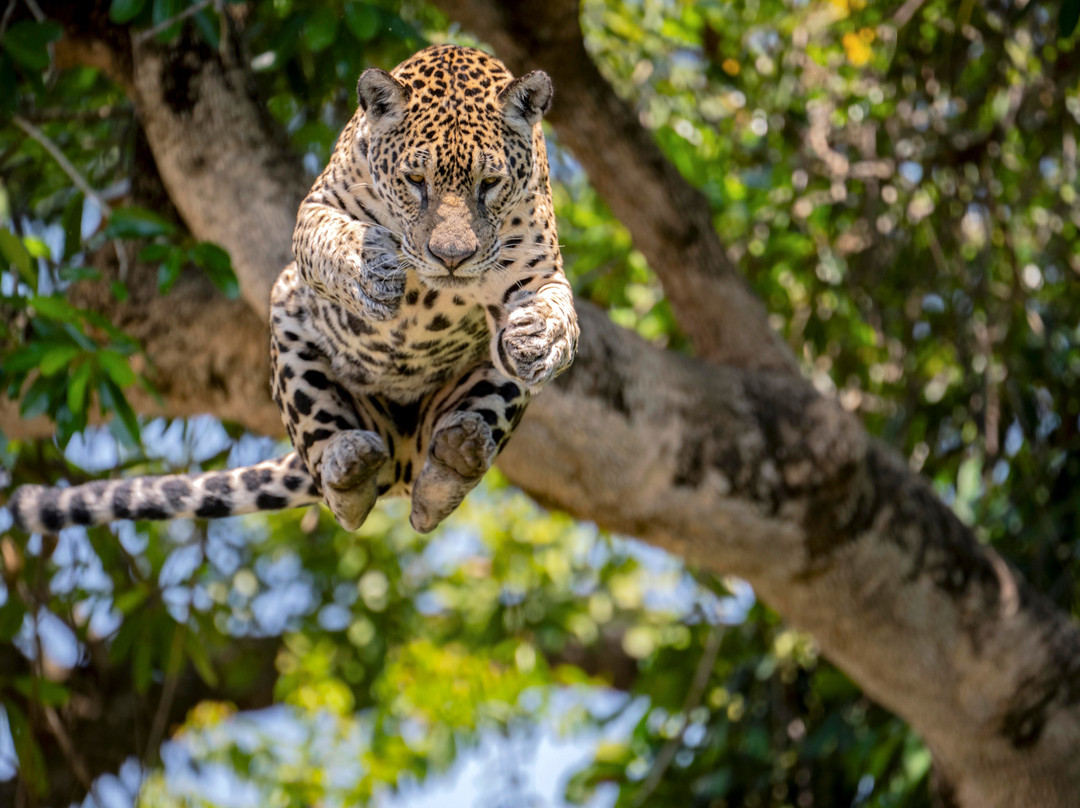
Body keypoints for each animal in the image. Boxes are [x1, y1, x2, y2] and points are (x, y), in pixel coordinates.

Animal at [8, 45, 579, 537]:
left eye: (490, 184)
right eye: (416, 180)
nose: (452, 257)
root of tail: (400, 452)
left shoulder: (539, 271)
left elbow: (558, 309)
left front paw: (541, 337)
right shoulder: (315, 209)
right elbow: (333, 238)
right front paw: (372, 267)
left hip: (487, 390)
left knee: (440, 477)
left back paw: (456, 454)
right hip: (288, 325)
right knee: (338, 481)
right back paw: (349, 463)